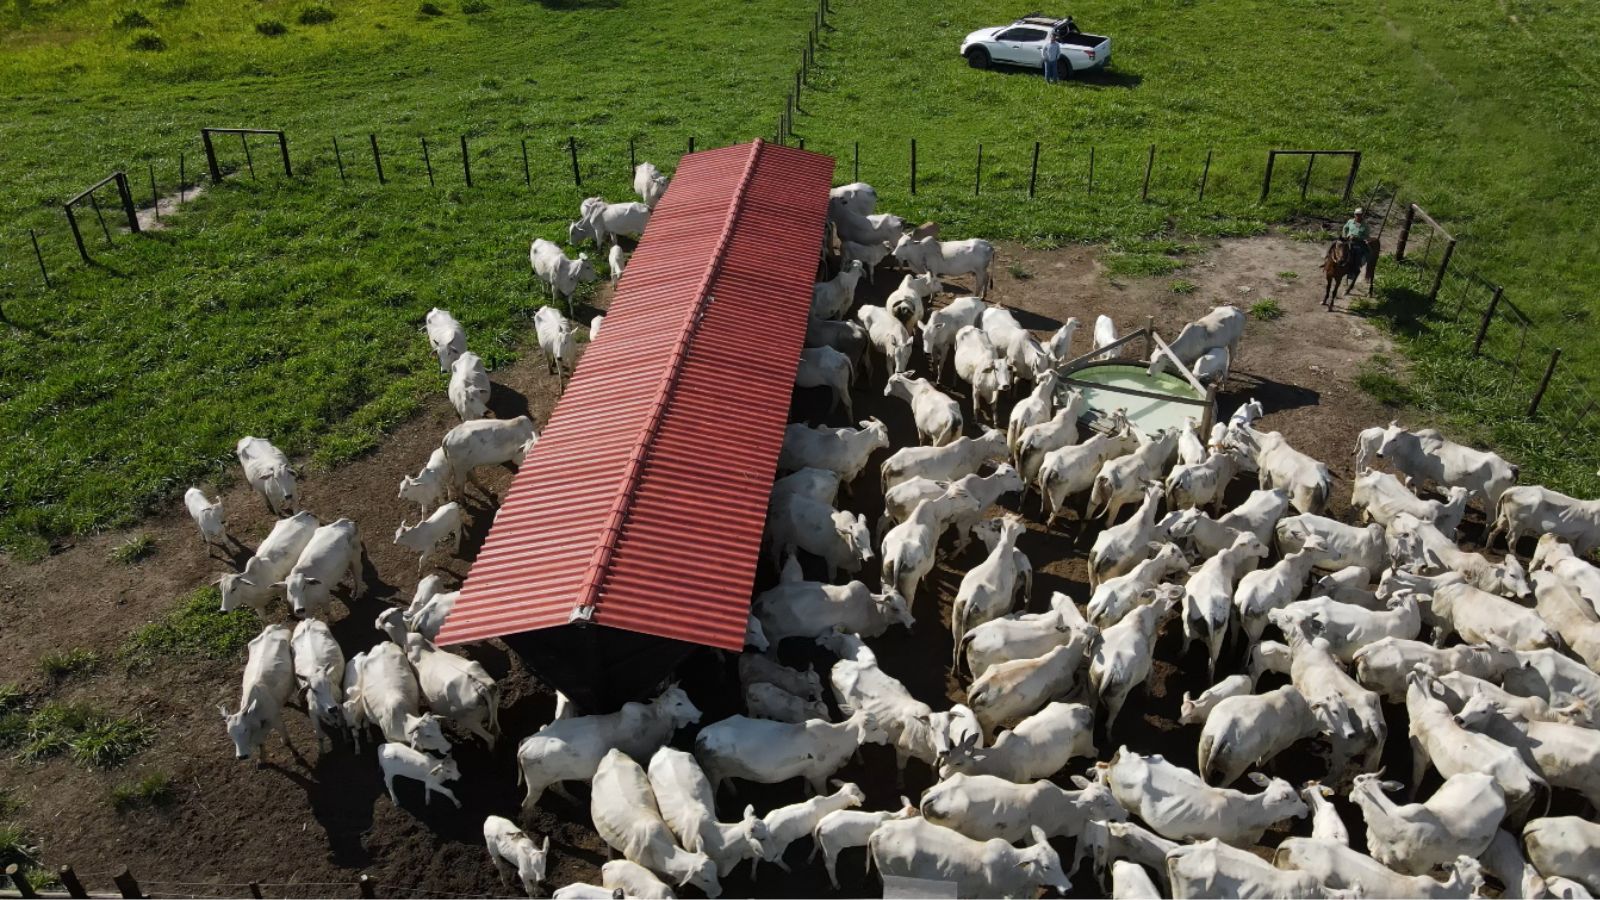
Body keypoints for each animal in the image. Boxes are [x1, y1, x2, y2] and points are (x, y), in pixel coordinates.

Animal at [217, 624, 296, 755]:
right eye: (230, 733)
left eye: (245, 729)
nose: (241, 756)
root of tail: (272, 627)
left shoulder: (276, 719)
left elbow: (285, 737)